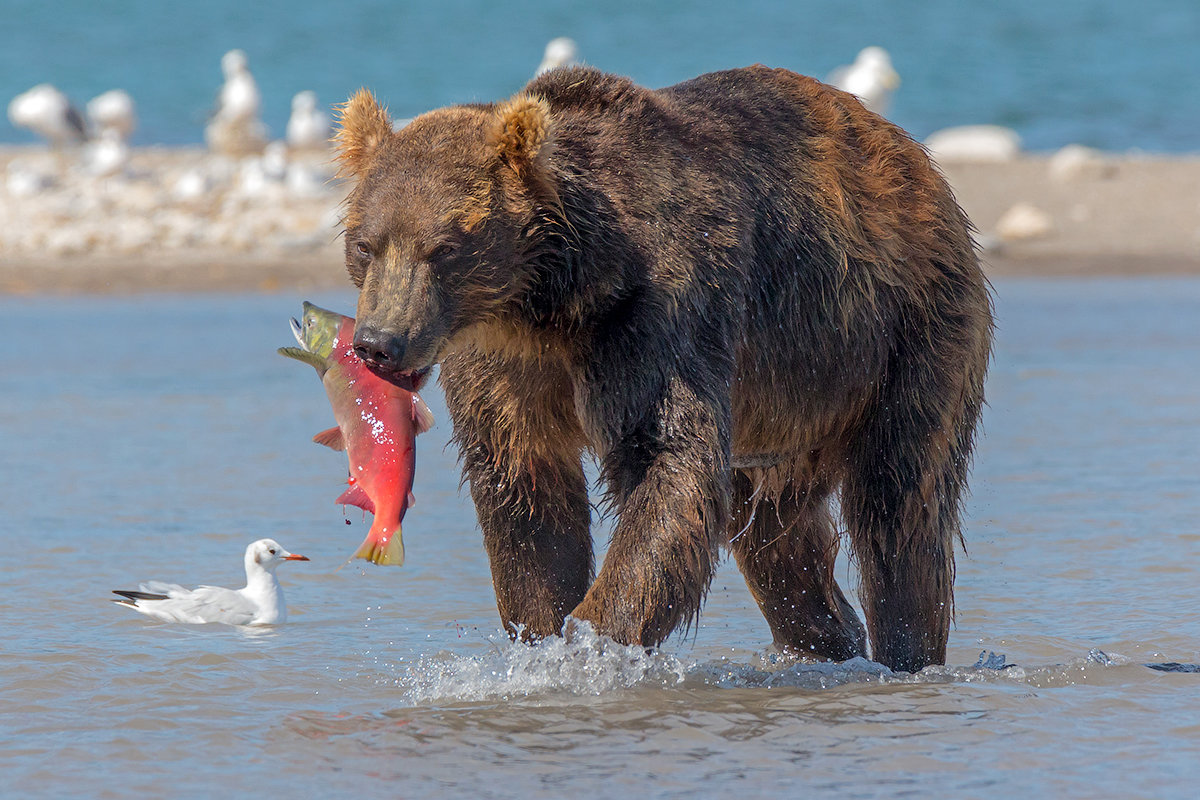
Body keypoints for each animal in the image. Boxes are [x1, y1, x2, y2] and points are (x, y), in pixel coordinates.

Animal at [331, 65, 993, 671]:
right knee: (776, 534)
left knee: (901, 500)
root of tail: (917, 160)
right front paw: (542, 636)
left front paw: (590, 641)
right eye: (365, 244)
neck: (552, 305)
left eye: (444, 248)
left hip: (905, 332)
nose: (379, 343)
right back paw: (829, 641)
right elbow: (524, 488)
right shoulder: (504, 365)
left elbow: (667, 462)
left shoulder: (657, 317)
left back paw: (908, 651)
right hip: (784, 407)